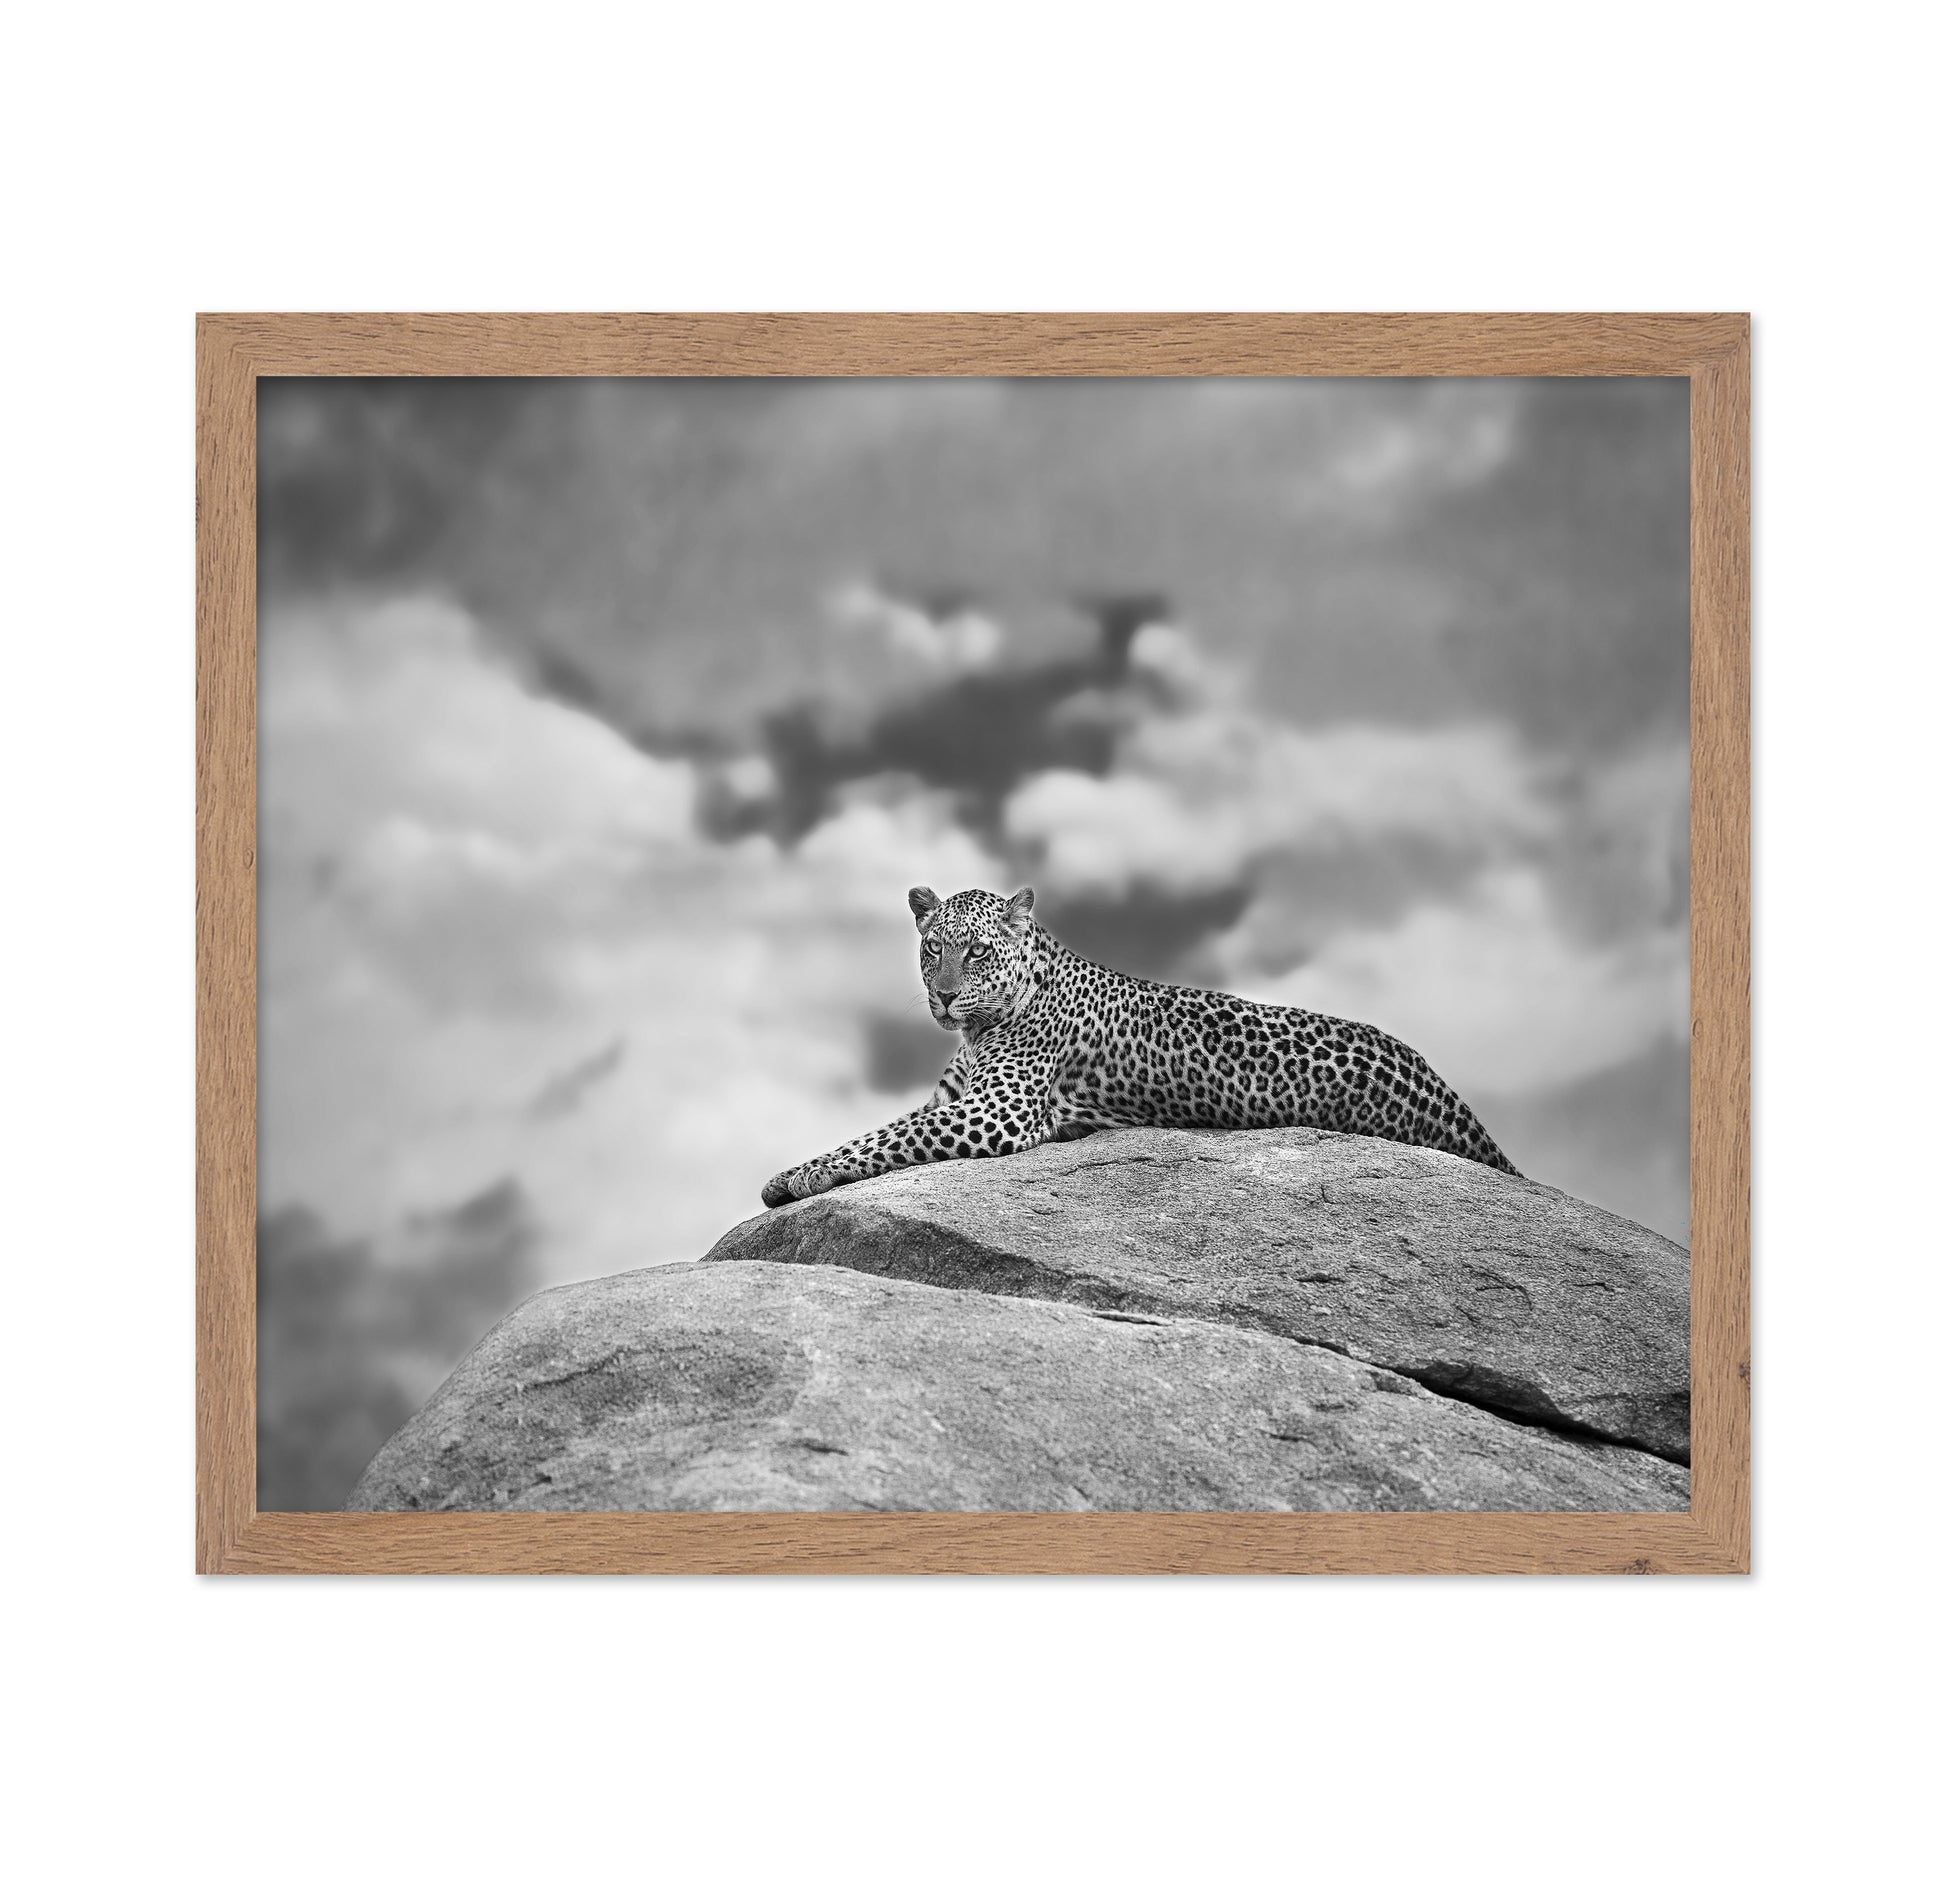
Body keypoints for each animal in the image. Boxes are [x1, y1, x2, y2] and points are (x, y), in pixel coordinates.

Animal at [761, 885, 1519, 1207]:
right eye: (932, 951)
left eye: (976, 952)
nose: (944, 997)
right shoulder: (956, 1099)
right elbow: (879, 1131)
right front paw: (795, 1172)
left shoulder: (995, 1112)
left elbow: (885, 1138)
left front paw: (796, 1176)